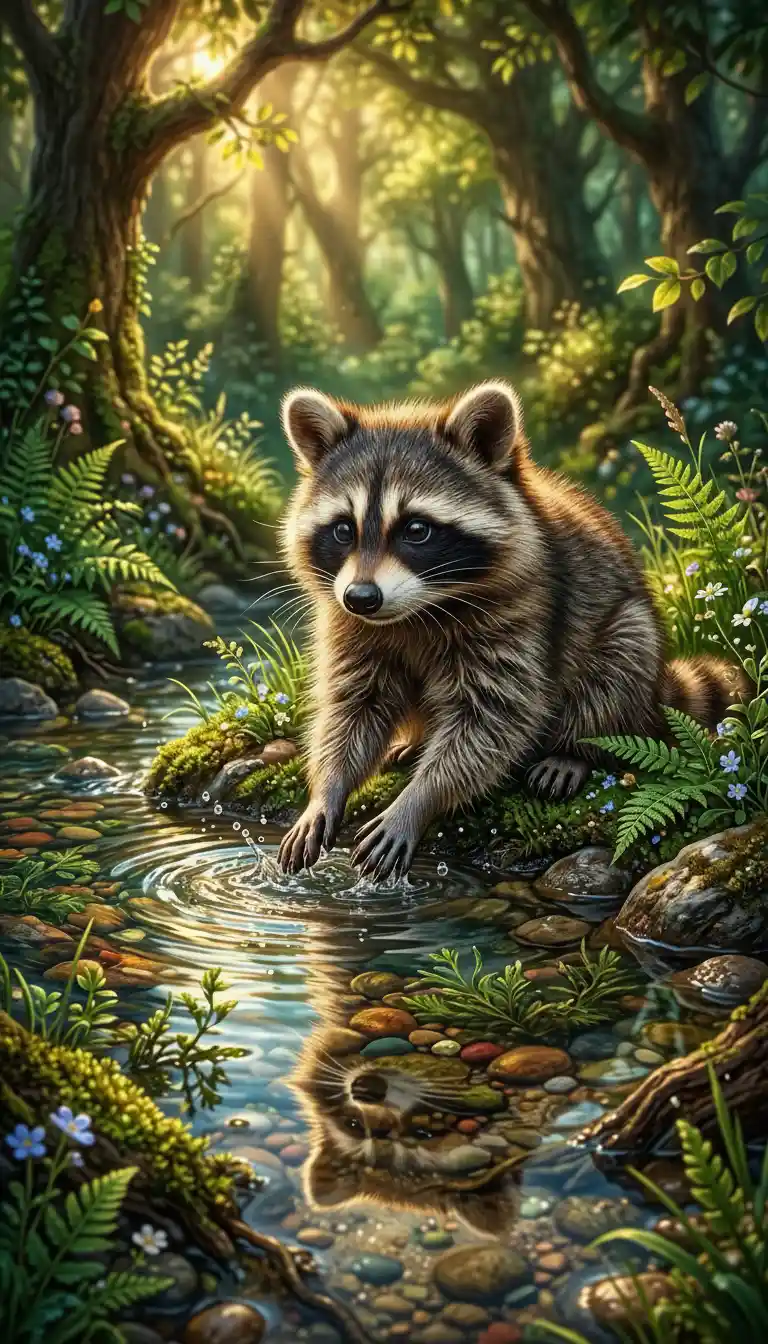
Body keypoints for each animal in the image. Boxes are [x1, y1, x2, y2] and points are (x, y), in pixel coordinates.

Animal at [277, 380, 742, 879]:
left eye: (416, 529)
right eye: (343, 529)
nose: (362, 598)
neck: (418, 609)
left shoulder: (523, 613)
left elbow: (493, 719)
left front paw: (417, 801)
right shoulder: (350, 627)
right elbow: (353, 706)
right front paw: (327, 789)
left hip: (629, 633)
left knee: (618, 662)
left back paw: (574, 748)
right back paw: (414, 741)